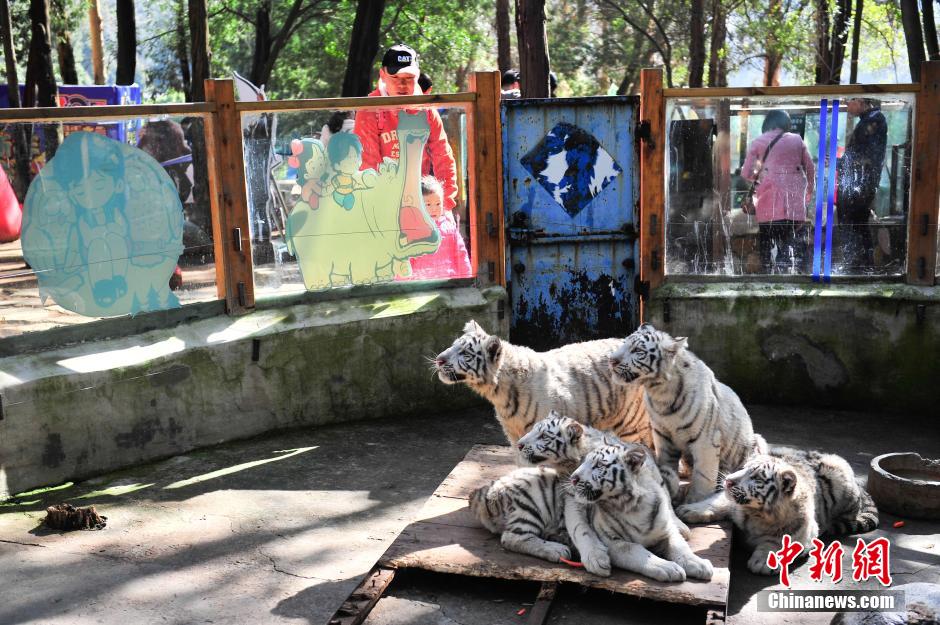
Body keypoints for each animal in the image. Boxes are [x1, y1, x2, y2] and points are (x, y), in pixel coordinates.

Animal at [436, 320, 648, 446]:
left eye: (464, 353)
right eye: (453, 345)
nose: (438, 360)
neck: (499, 393)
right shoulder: (513, 434)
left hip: (633, 423)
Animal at [564, 444, 712, 580]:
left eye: (599, 465)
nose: (572, 478)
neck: (632, 506)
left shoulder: (667, 531)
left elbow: (679, 546)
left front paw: (698, 563)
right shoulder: (611, 542)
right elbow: (637, 550)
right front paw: (668, 567)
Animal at [604, 322, 768, 512]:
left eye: (638, 350)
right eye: (623, 344)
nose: (611, 360)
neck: (659, 392)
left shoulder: (706, 439)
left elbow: (703, 476)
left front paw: (693, 502)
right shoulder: (662, 435)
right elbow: (667, 463)